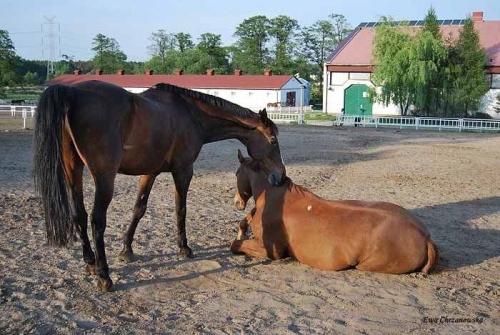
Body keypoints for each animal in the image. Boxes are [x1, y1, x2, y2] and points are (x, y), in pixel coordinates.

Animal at [230, 151, 438, 274]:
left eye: (236, 173)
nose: (237, 202)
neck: (274, 194)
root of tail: (425, 238)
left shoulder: (270, 250)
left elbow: (235, 245)